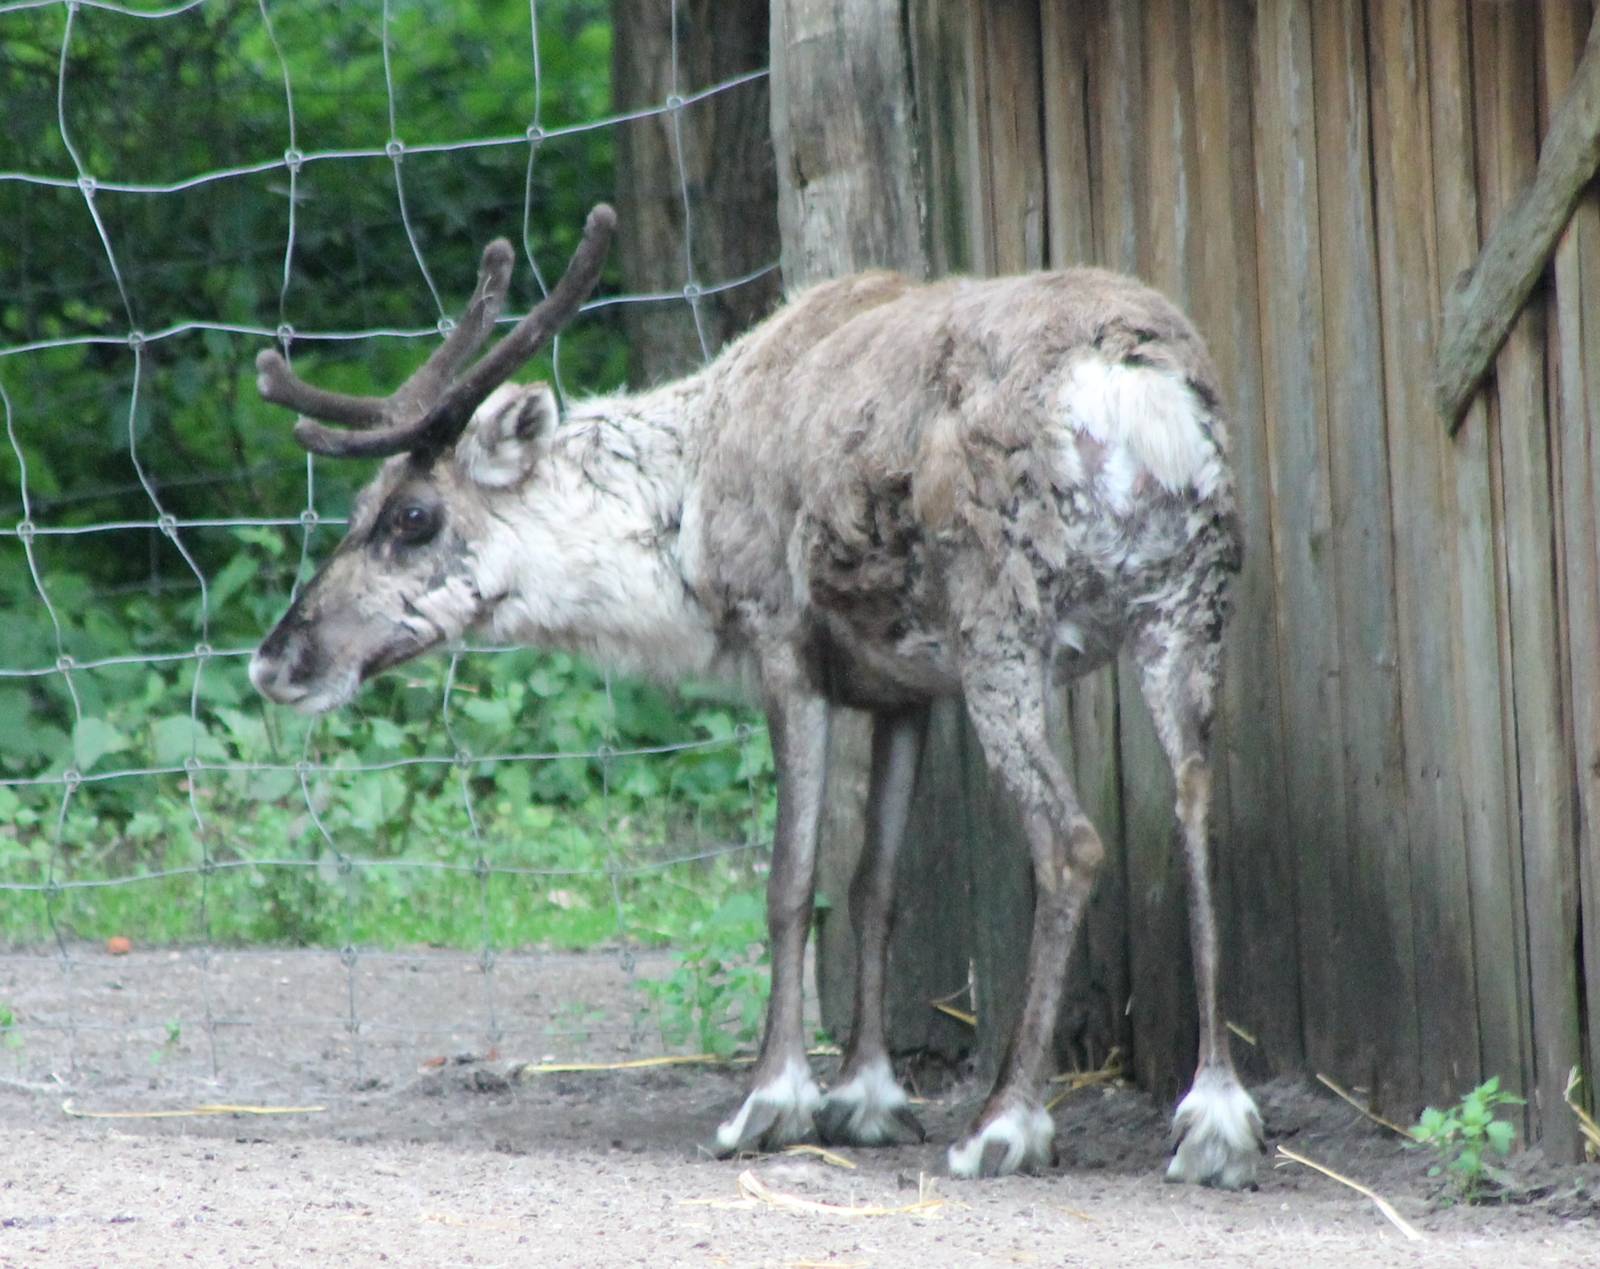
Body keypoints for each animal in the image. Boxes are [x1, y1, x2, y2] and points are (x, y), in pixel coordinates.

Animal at [248, 203, 1264, 1187]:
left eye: (412, 517)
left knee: (1070, 842)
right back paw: (1215, 1117)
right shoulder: (905, 685)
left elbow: (790, 880)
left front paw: (772, 1101)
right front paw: (867, 1096)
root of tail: (1140, 397)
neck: (682, 512)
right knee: (1196, 814)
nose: (276, 659)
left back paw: (1006, 1122)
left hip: (1003, 620)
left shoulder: (784, 640)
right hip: (1187, 605)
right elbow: (873, 886)